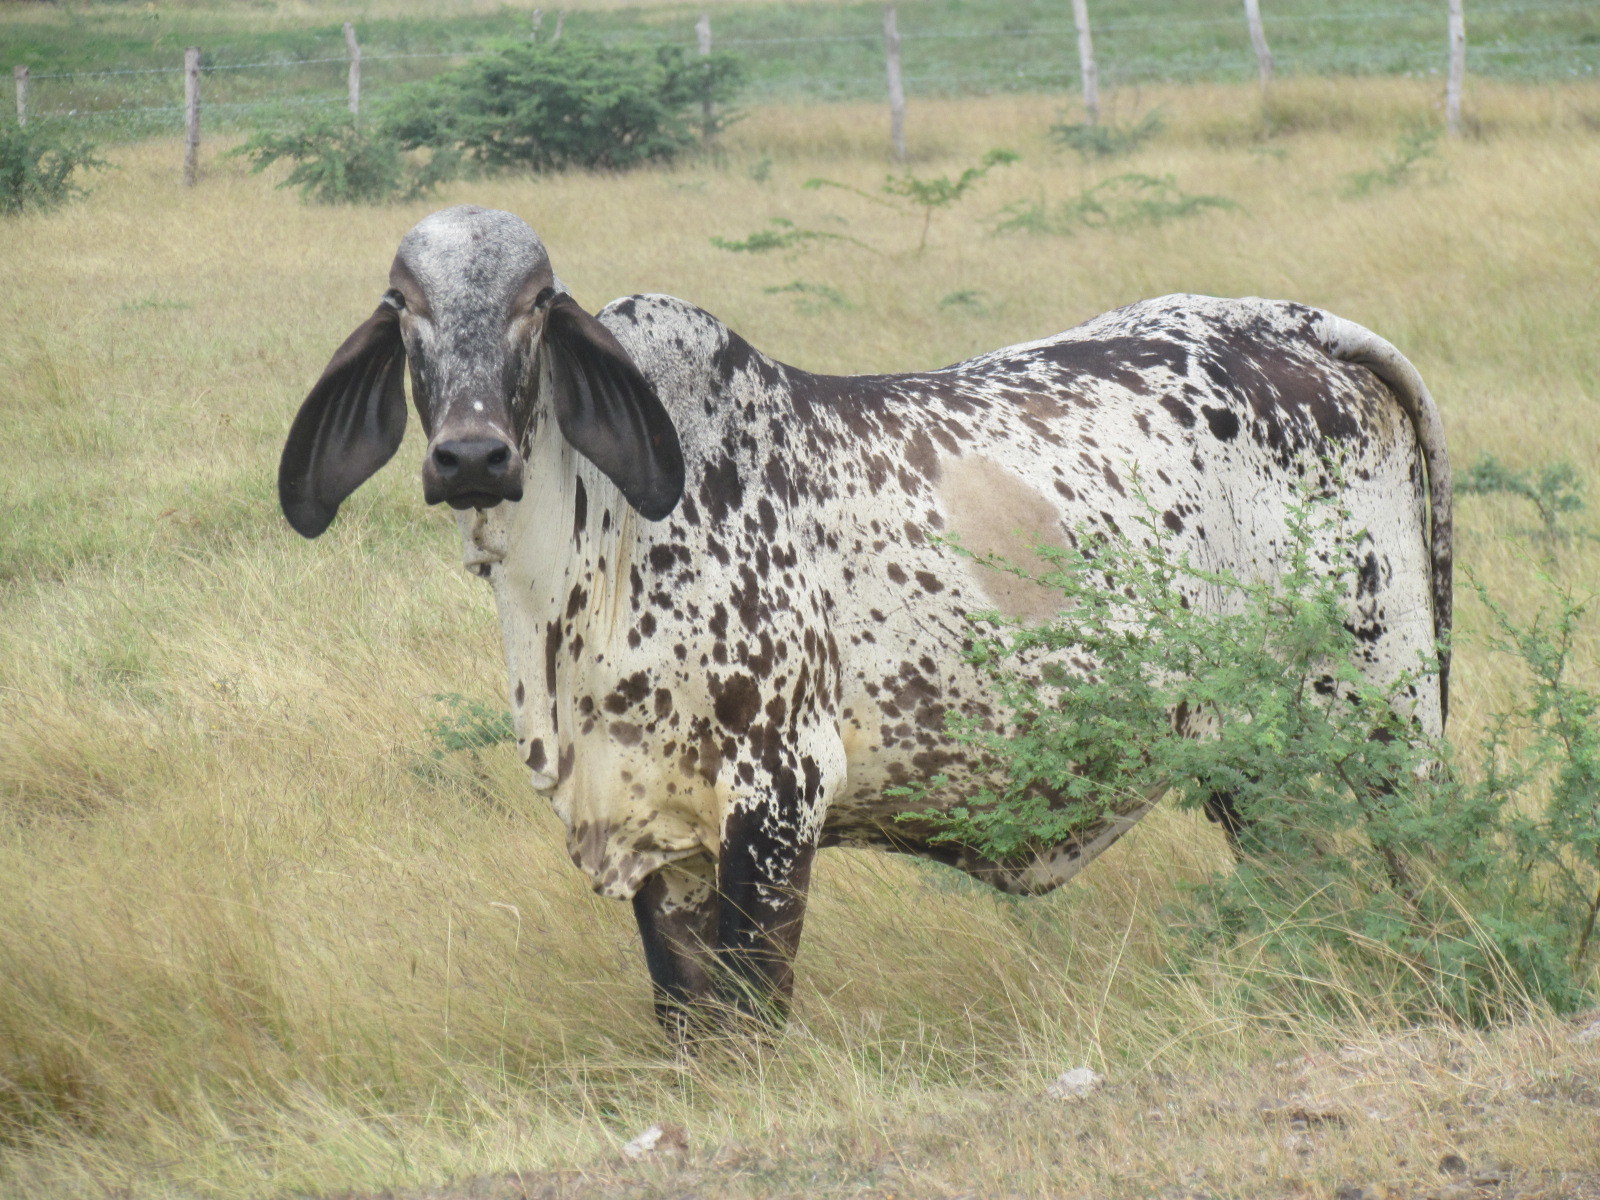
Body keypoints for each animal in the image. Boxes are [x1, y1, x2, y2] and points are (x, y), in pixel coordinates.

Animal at [284, 206, 1452, 1043]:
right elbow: (686, 1021)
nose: (472, 456)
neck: (589, 556)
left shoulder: (779, 795)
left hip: (1387, 715)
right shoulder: (661, 831)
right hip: (1249, 759)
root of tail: (1284, 321)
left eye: (536, 303)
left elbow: (750, 1016)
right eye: (402, 304)